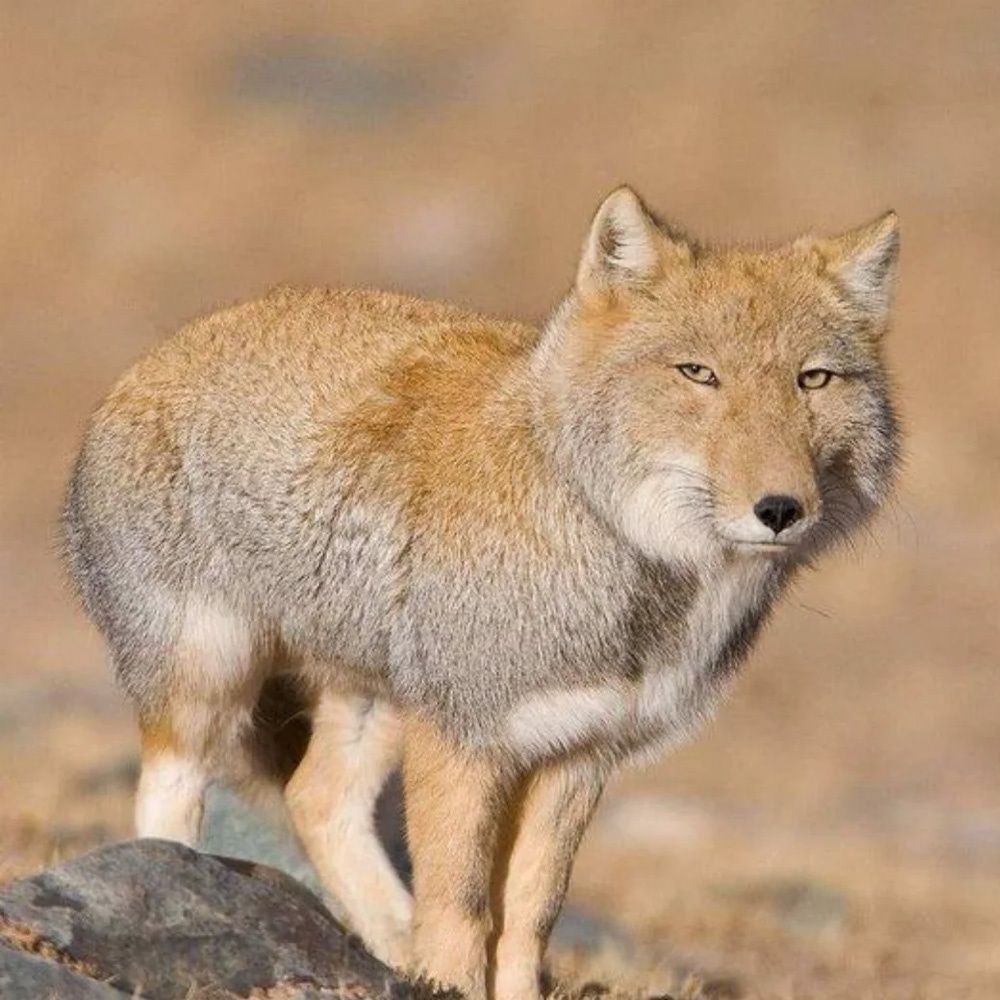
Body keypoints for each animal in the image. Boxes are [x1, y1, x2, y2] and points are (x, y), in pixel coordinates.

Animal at [62, 186, 900, 1000]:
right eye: (698, 374)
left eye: (813, 379)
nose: (781, 509)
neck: (619, 558)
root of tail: (161, 351)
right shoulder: (463, 738)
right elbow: (462, 905)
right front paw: (449, 976)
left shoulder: (578, 753)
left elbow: (530, 912)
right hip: (208, 684)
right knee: (168, 801)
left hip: (374, 703)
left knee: (316, 799)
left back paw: (391, 946)